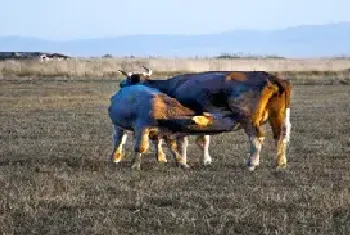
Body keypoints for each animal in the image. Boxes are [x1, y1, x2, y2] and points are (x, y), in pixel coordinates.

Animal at [119, 68, 292, 171]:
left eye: (126, 82)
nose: (120, 89)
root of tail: (269, 76)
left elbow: (182, 141)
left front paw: (182, 160)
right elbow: (204, 140)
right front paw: (206, 160)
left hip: (248, 119)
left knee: (257, 138)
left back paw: (252, 163)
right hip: (278, 115)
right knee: (281, 136)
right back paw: (280, 163)